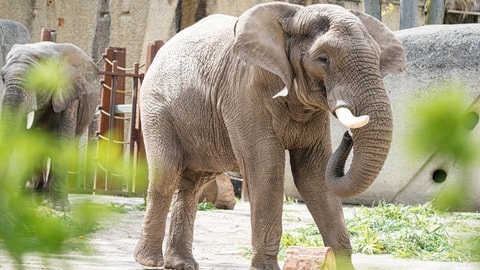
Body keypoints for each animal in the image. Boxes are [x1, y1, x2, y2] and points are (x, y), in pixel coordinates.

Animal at [134, 2, 404, 270]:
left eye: (377, 59)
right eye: (323, 59)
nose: (348, 136)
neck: (294, 14)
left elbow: (314, 175)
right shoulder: (244, 92)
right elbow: (267, 169)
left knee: (193, 184)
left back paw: (182, 264)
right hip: (156, 108)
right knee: (167, 175)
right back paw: (149, 261)